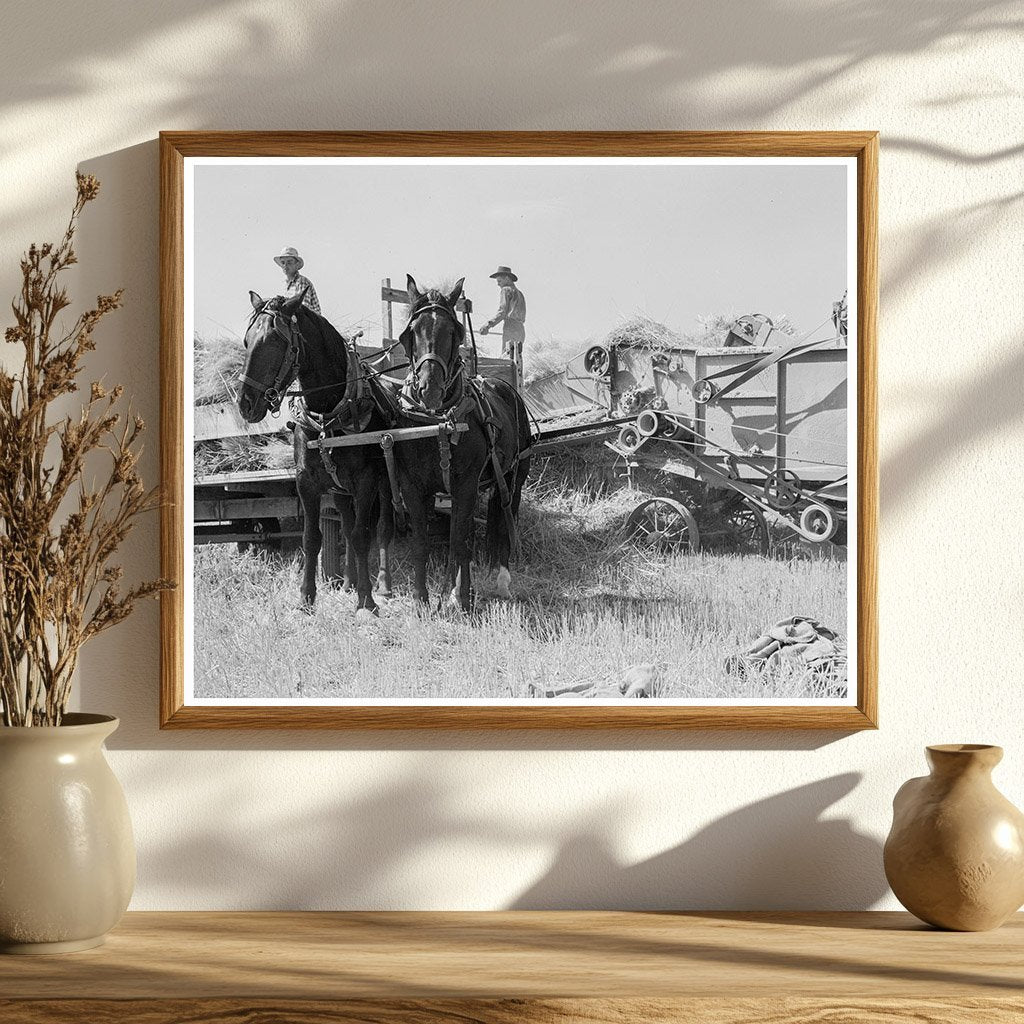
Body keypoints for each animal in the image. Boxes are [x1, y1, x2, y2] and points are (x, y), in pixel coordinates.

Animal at [239, 286, 395, 614]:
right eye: (247, 341)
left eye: (274, 341)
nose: (245, 404)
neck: (329, 415)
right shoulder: (306, 482)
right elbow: (312, 538)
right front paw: (306, 598)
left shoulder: (365, 481)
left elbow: (363, 535)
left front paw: (367, 600)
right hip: (339, 490)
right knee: (346, 527)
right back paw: (348, 583)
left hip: (386, 482)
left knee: (383, 527)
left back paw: (383, 586)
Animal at [395, 274, 532, 606]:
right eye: (411, 332)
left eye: (453, 332)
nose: (430, 388)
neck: (436, 424)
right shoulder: (414, 487)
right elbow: (423, 541)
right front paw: (422, 600)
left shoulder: (466, 483)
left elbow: (460, 542)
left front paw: (465, 601)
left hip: (513, 477)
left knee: (504, 520)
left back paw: (501, 581)